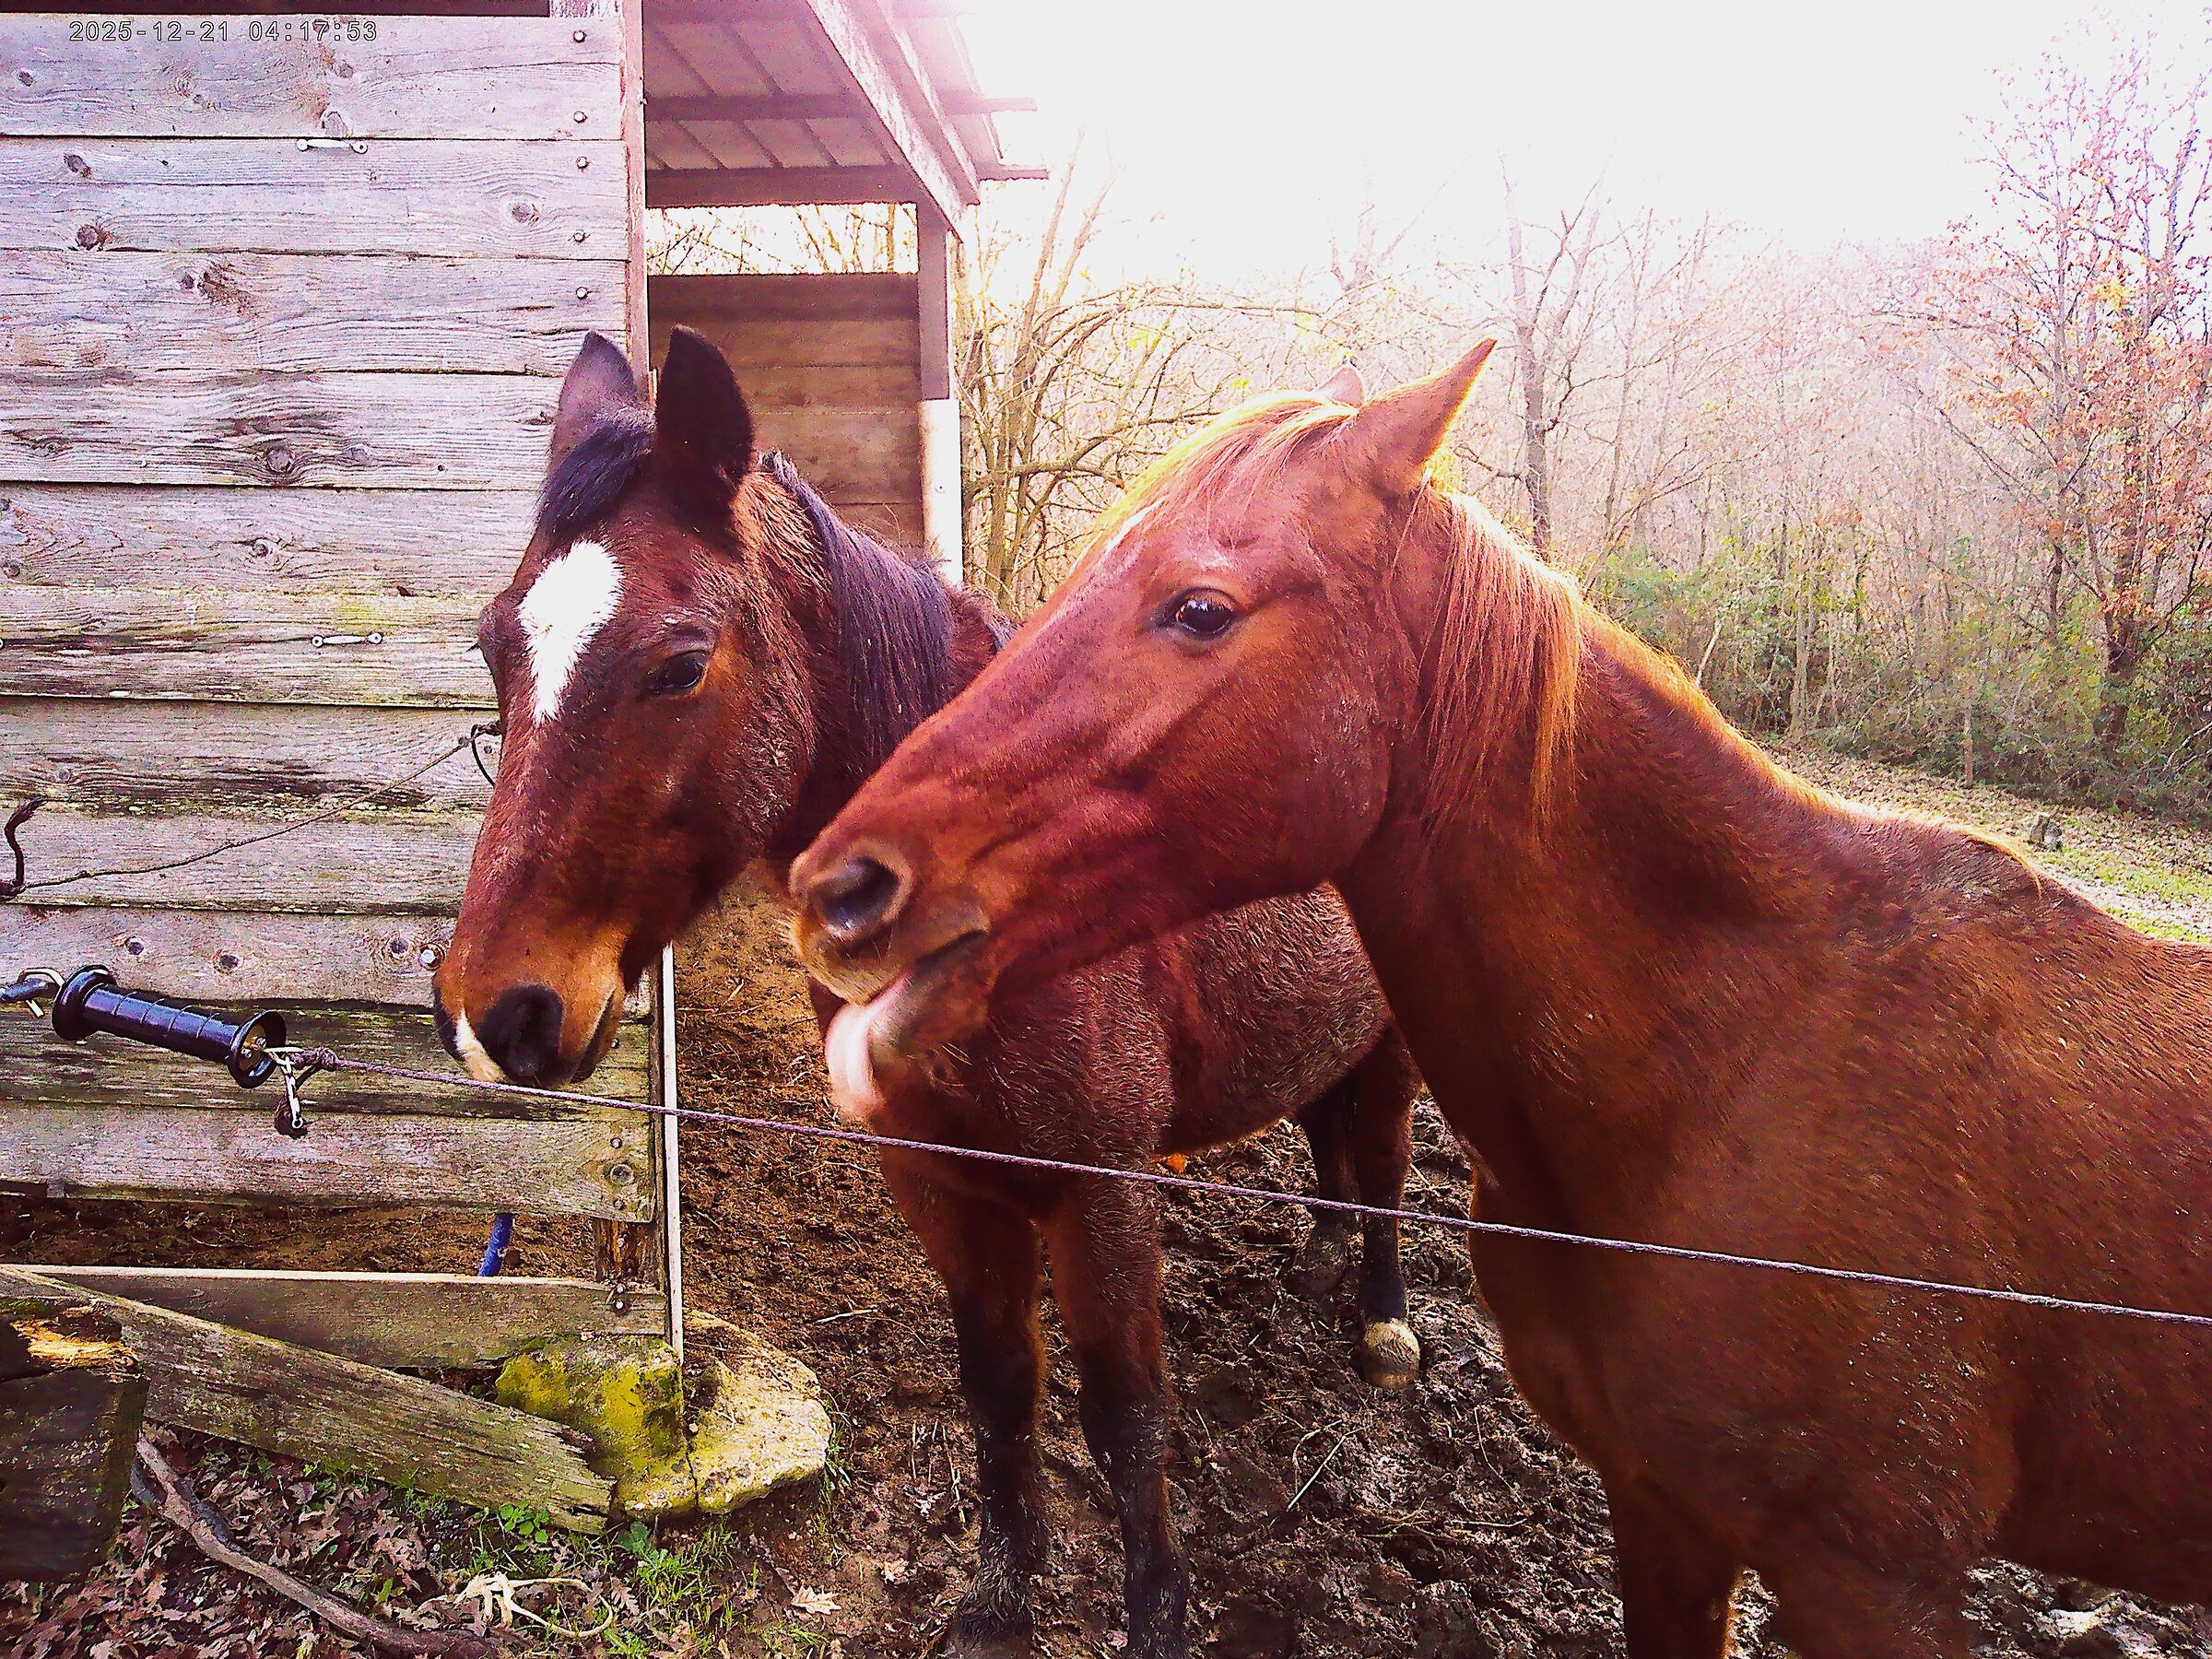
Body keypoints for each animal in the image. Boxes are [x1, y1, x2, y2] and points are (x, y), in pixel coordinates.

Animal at [429, 328, 1424, 1658]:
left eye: (679, 664)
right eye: (497, 646)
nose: (499, 1011)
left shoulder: (1102, 1190)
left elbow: (1128, 1416)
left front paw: (1154, 1613)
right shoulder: (943, 1181)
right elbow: (999, 1386)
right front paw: (1002, 1600)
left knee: (1387, 1168)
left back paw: (1381, 1321)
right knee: (1330, 1140)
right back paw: (1322, 1259)